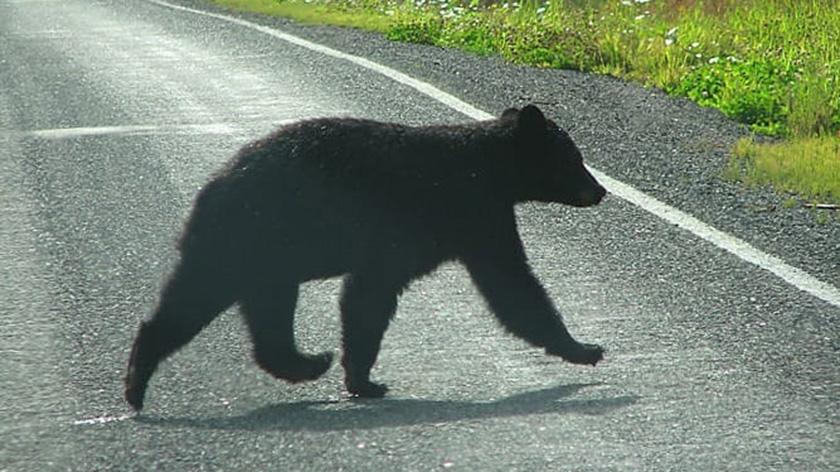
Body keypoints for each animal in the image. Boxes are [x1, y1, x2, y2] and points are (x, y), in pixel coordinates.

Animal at [124, 103, 608, 410]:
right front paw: (585, 348)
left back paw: (305, 362)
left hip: (263, 258)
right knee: (198, 299)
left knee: (262, 315)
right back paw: (137, 382)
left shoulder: (470, 224)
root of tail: (214, 183)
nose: (600, 190)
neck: (489, 170)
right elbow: (511, 285)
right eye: (576, 158)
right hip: (244, 241)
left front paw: (360, 378)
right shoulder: (467, 216)